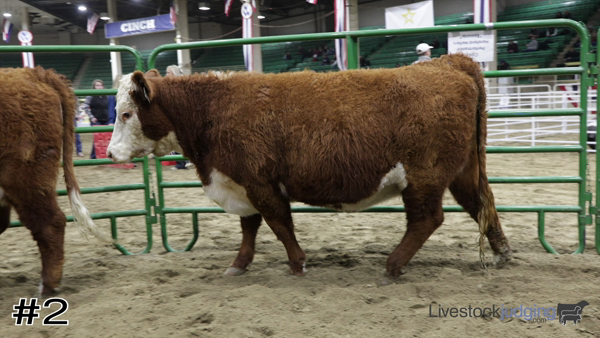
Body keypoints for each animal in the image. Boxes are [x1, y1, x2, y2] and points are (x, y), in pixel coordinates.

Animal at [106, 52, 510, 278]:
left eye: (126, 113)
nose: (110, 153)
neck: (211, 110)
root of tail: (449, 63)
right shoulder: (241, 183)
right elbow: (249, 227)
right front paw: (239, 263)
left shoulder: (260, 183)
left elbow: (279, 224)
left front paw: (298, 263)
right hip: (463, 170)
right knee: (481, 205)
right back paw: (502, 254)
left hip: (424, 175)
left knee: (428, 219)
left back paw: (394, 265)